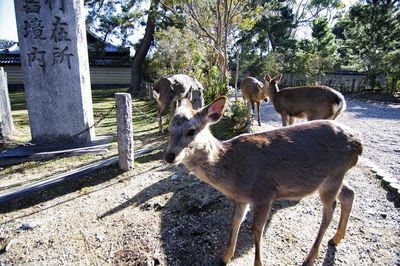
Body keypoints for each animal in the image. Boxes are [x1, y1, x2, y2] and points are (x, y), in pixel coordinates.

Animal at [163, 95, 362, 266]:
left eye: (191, 131)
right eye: (168, 130)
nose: (169, 156)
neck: (234, 174)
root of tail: (359, 144)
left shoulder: (264, 194)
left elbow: (257, 230)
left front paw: (257, 262)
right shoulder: (241, 199)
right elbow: (235, 221)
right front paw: (225, 258)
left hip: (333, 176)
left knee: (329, 211)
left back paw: (310, 258)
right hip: (333, 177)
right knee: (349, 193)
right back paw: (336, 238)